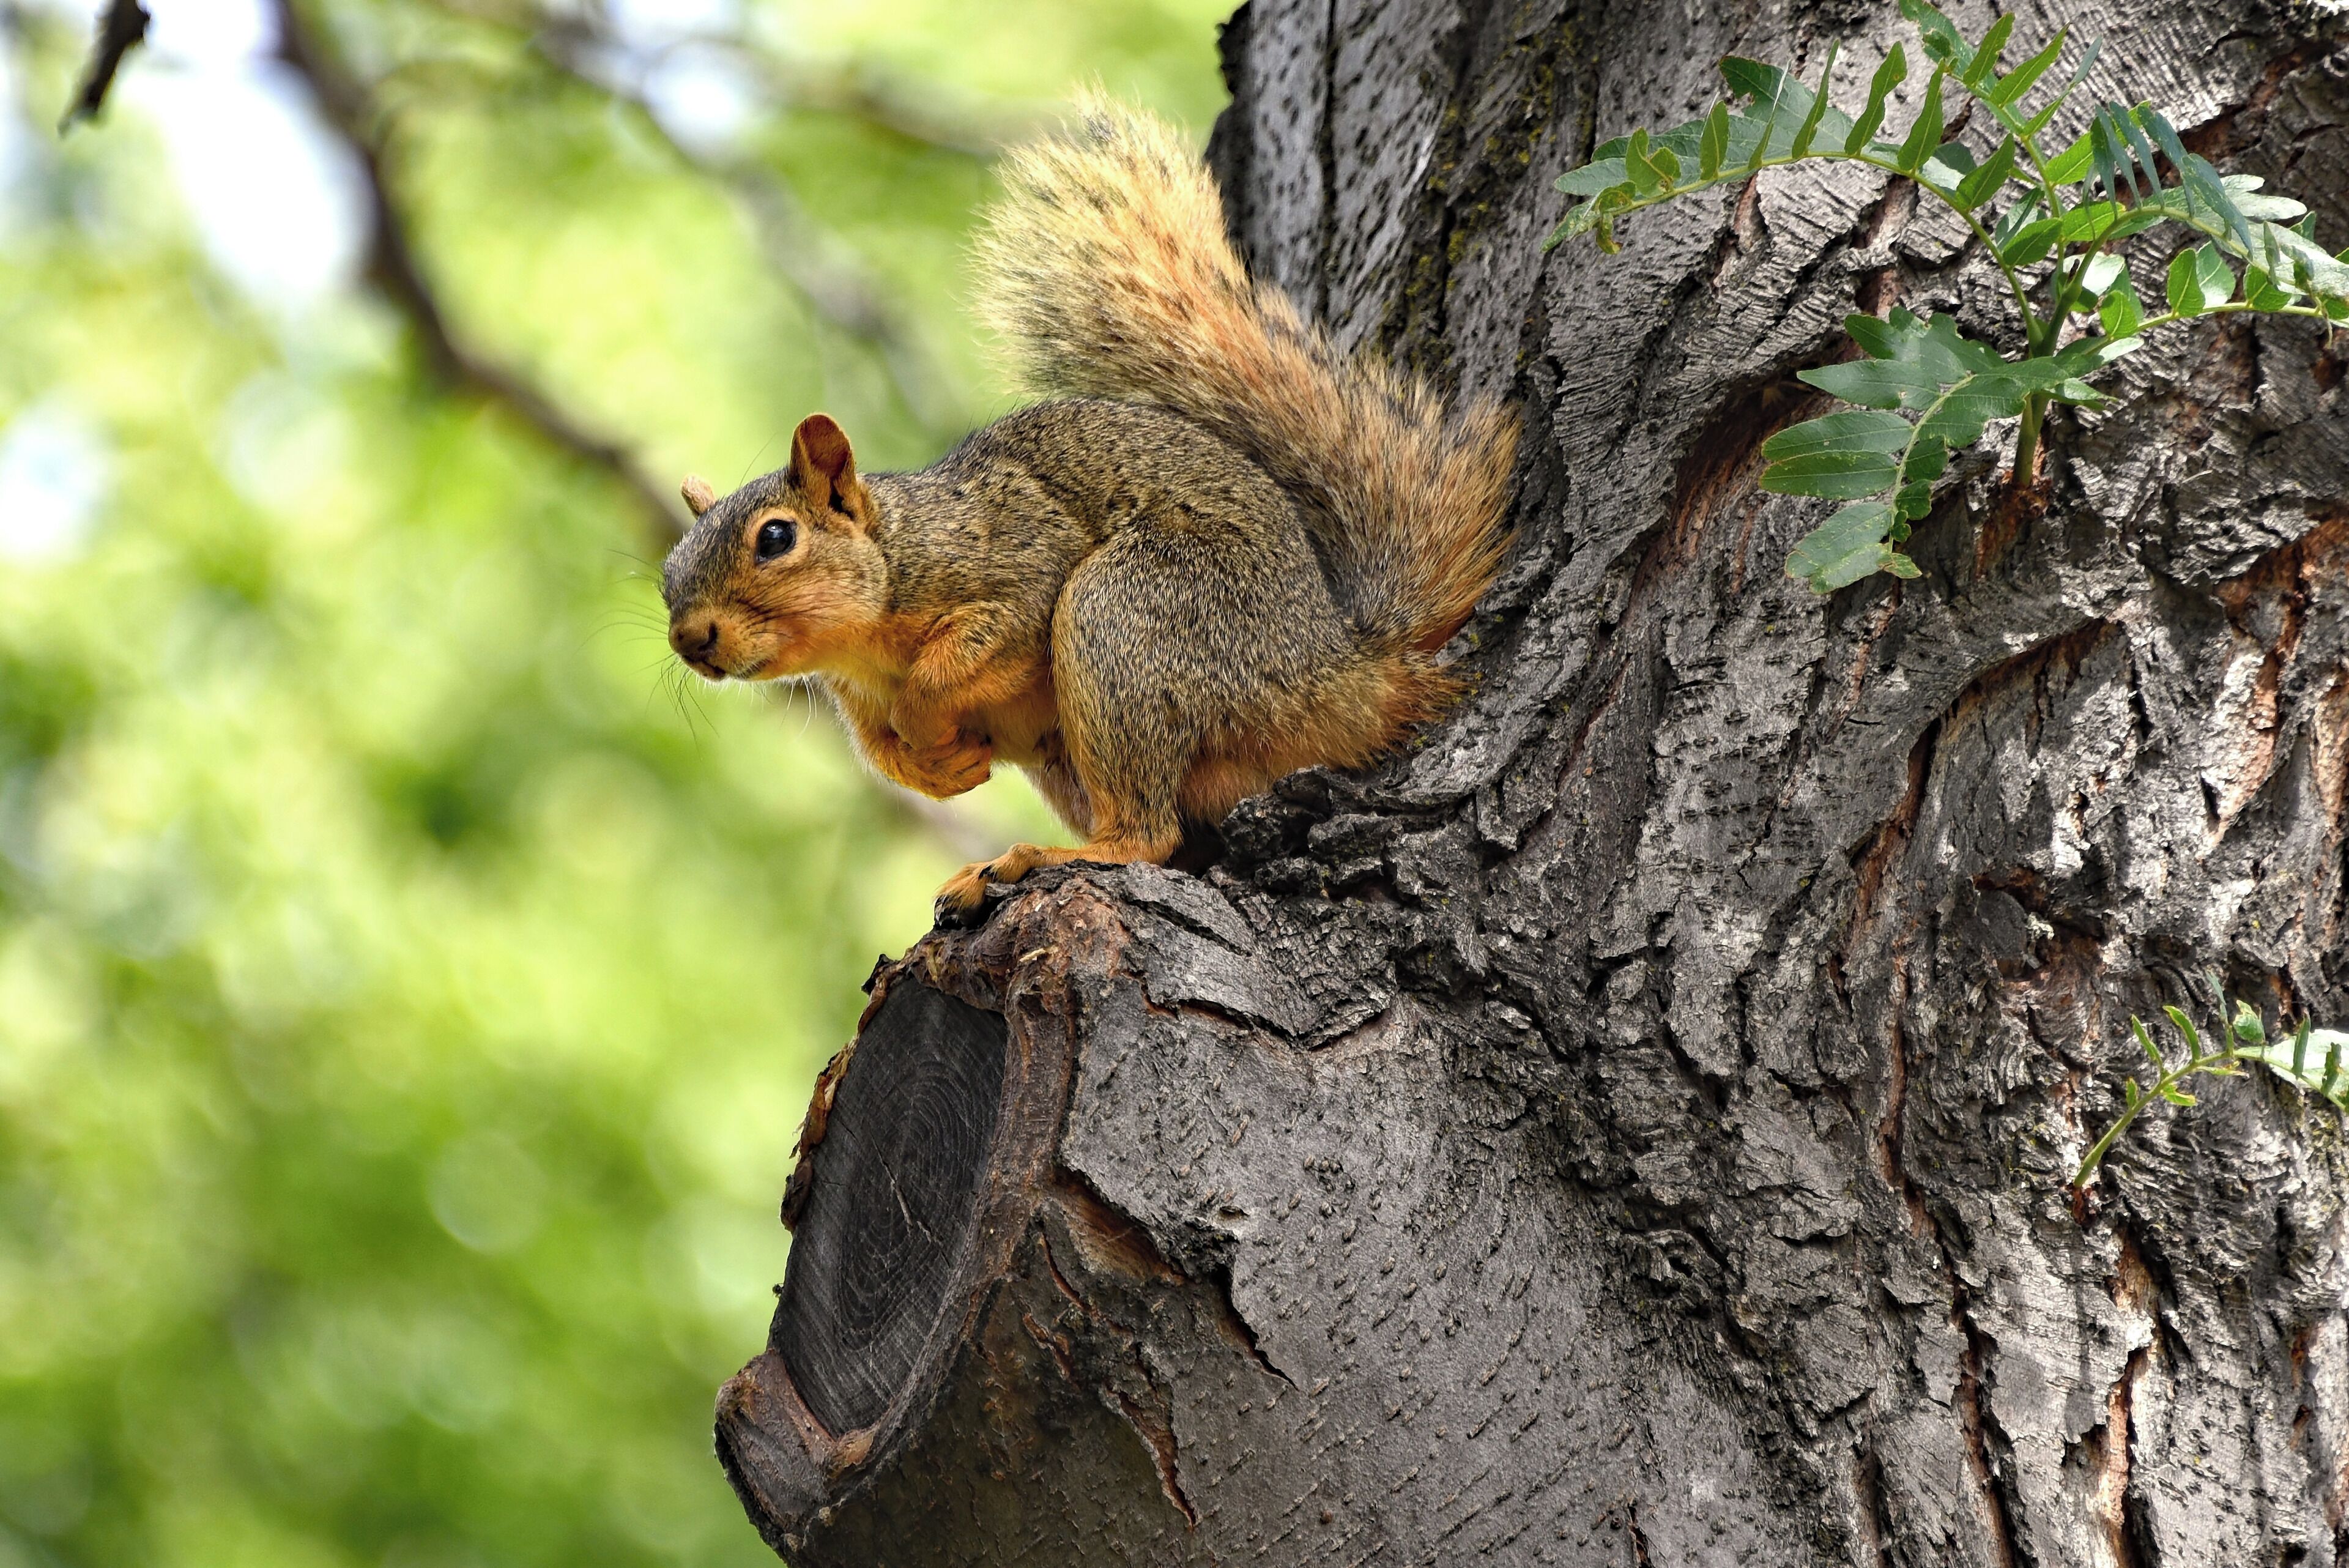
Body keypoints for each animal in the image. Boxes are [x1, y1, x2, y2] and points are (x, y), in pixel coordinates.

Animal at [660, 97, 1517, 912]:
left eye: (776, 538)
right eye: (667, 573)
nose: (690, 640)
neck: (868, 628)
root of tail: (1338, 671)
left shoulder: (1014, 560)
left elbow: (970, 652)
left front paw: (928, 720)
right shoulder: (856, 699)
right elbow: (883, 756)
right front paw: (940, 768)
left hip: (1131, 613)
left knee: (1148, 832)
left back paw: (1054, 856)